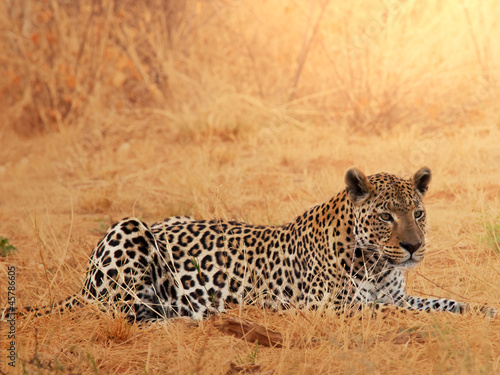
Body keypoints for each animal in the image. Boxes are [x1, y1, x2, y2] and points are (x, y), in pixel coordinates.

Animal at [2, 168, 496, 324]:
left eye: (418, 213)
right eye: (385, 216)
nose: (414, 247)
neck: (376, 265)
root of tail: (82, 283)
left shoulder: (398, 293)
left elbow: (443, 303)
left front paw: (484, 310)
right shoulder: (334, 308)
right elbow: (389, 312)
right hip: (130, 228)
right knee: (126, 313)